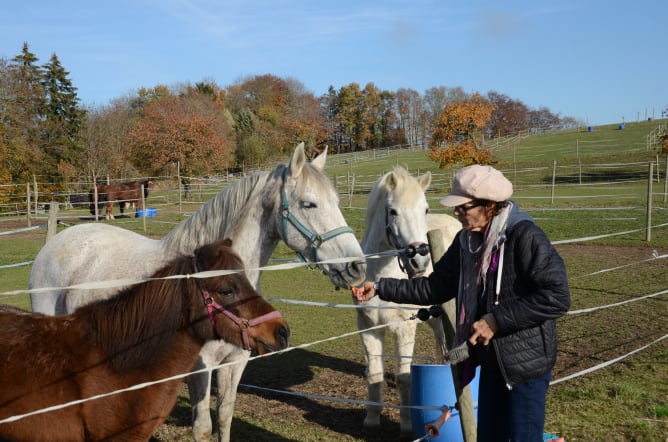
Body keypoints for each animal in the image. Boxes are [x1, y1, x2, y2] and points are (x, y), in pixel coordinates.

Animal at [30, 143, 366, 440]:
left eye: (336, 202)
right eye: (309, 203)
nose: (357, 266)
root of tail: (53, 244)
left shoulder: (235, 361)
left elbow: (225, 418)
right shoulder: (199, 368)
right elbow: (203, 428)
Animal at [358, 168, 462, 436]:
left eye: (424, 209)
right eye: (393, 211)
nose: (420, 260)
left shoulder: (404, 329)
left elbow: (405, 377)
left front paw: (406, 424)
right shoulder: (368, 329)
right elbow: (375, 374)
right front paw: (371, 419)